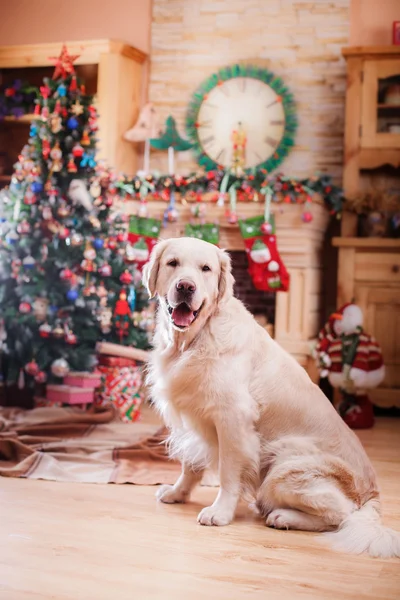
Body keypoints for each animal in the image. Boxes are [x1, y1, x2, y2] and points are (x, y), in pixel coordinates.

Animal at [144, 236, 400, 556]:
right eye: (173, 263)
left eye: (205, 268)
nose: (185, 287)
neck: (193, 340)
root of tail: (371, 493)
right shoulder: (194, 417)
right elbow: (190, 466)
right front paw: (177, 493)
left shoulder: (232, 420)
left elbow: (228, 473)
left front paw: (220, 512)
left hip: (283, 464)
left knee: (341, 515)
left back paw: (282, 517)